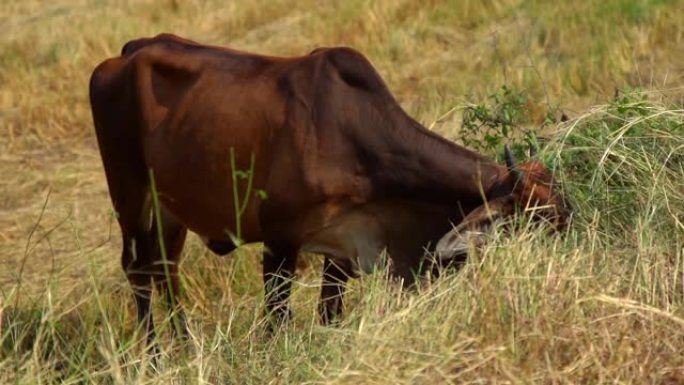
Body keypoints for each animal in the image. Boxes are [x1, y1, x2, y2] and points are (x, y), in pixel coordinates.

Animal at [91, 32, 572, 340]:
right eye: (535, 224)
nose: (559, 282)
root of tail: (129, 52)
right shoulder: (280, 243)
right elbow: (275, 323)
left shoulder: (342, 252)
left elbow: (329, 315)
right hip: (130, 197)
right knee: (137, 270)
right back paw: (155, 354)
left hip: (171, 211)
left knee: (165, 269)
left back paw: (185, 345)